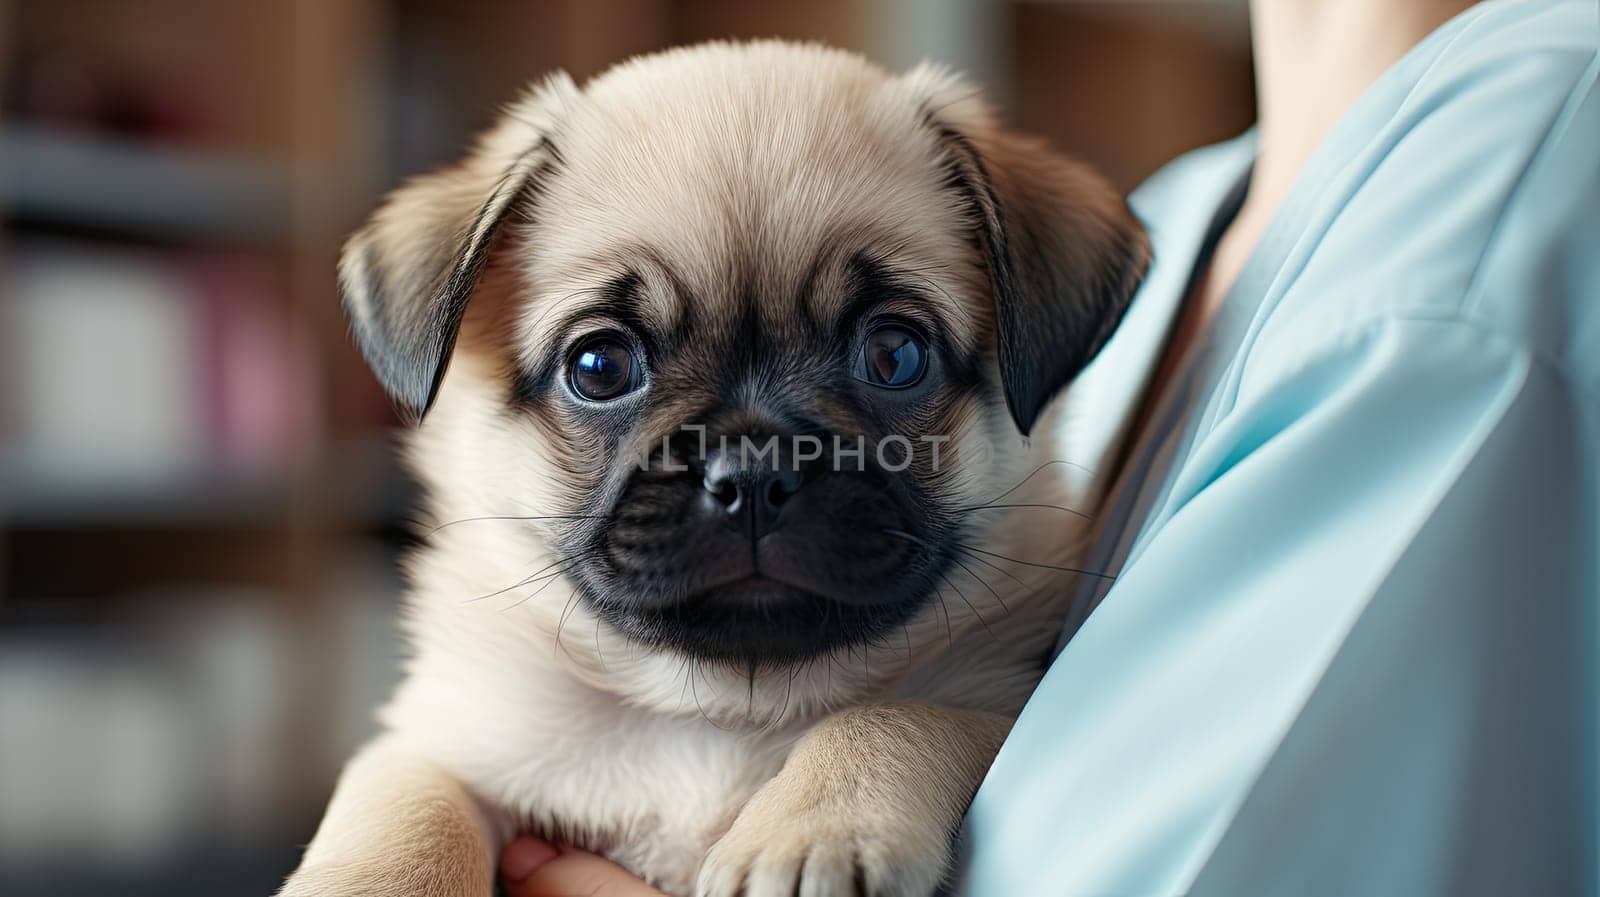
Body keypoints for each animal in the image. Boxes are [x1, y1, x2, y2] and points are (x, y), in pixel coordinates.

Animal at [281, 40, 1145, 895]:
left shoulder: (996, 698)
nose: (752, 470)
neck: (719, 713)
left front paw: (810, 830)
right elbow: (408, 818)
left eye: (895, 355)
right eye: (599, 366)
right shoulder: (440, 746)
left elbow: (895, 715)